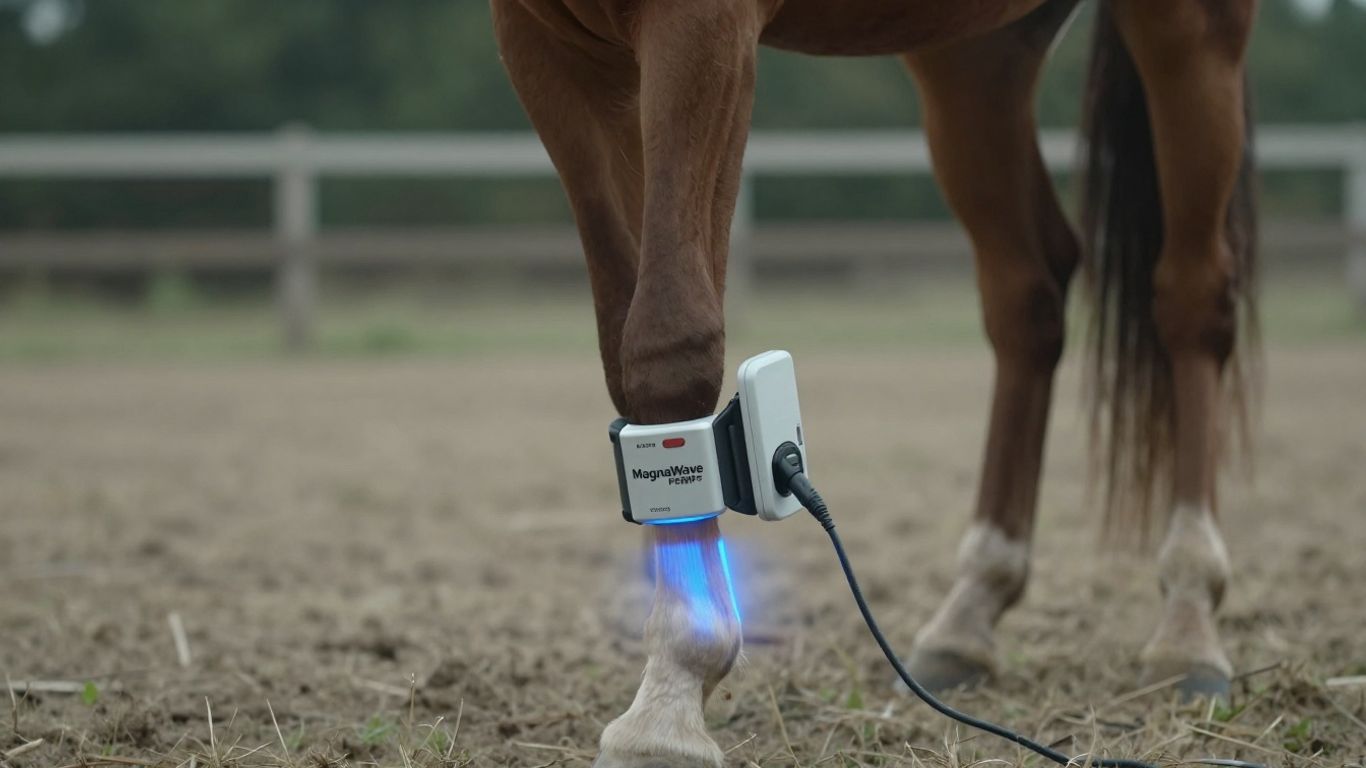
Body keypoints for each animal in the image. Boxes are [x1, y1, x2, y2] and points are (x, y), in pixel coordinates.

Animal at [492, 0, 1259, 766]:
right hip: (977, 58)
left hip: (1189, 28)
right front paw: (669, 689)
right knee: (1028, 295)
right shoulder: (546, 48)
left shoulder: (702, 30)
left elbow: (668, 345)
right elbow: (623, 353)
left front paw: (672, 701)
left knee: (1192, 297)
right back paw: (969, 614)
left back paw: (1189, 619)